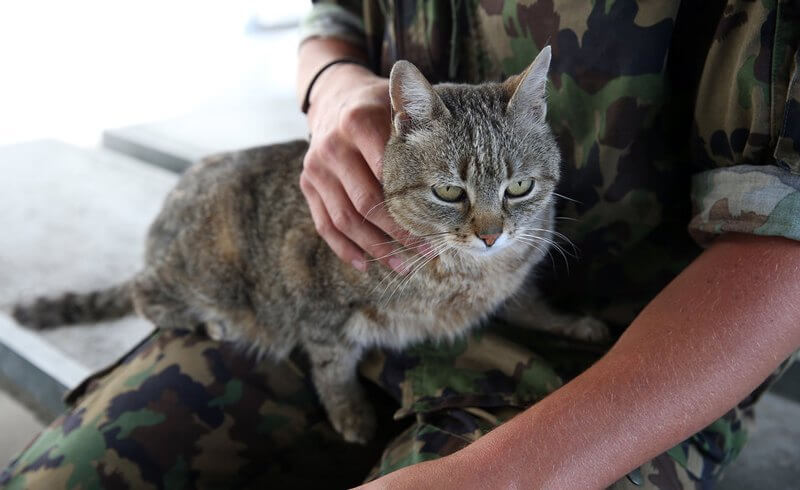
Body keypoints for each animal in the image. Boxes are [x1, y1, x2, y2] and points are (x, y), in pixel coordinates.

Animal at [14, 48, 608, 444]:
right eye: (448, 192)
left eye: (519, 187)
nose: (490, 233)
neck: (470, 274)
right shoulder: (315, 293)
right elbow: (332, 365)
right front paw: (351, 416)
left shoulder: (519, 272)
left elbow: (531, 302)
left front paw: (571, 323)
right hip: (206, 272)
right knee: (144, 291)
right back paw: (212, 322)